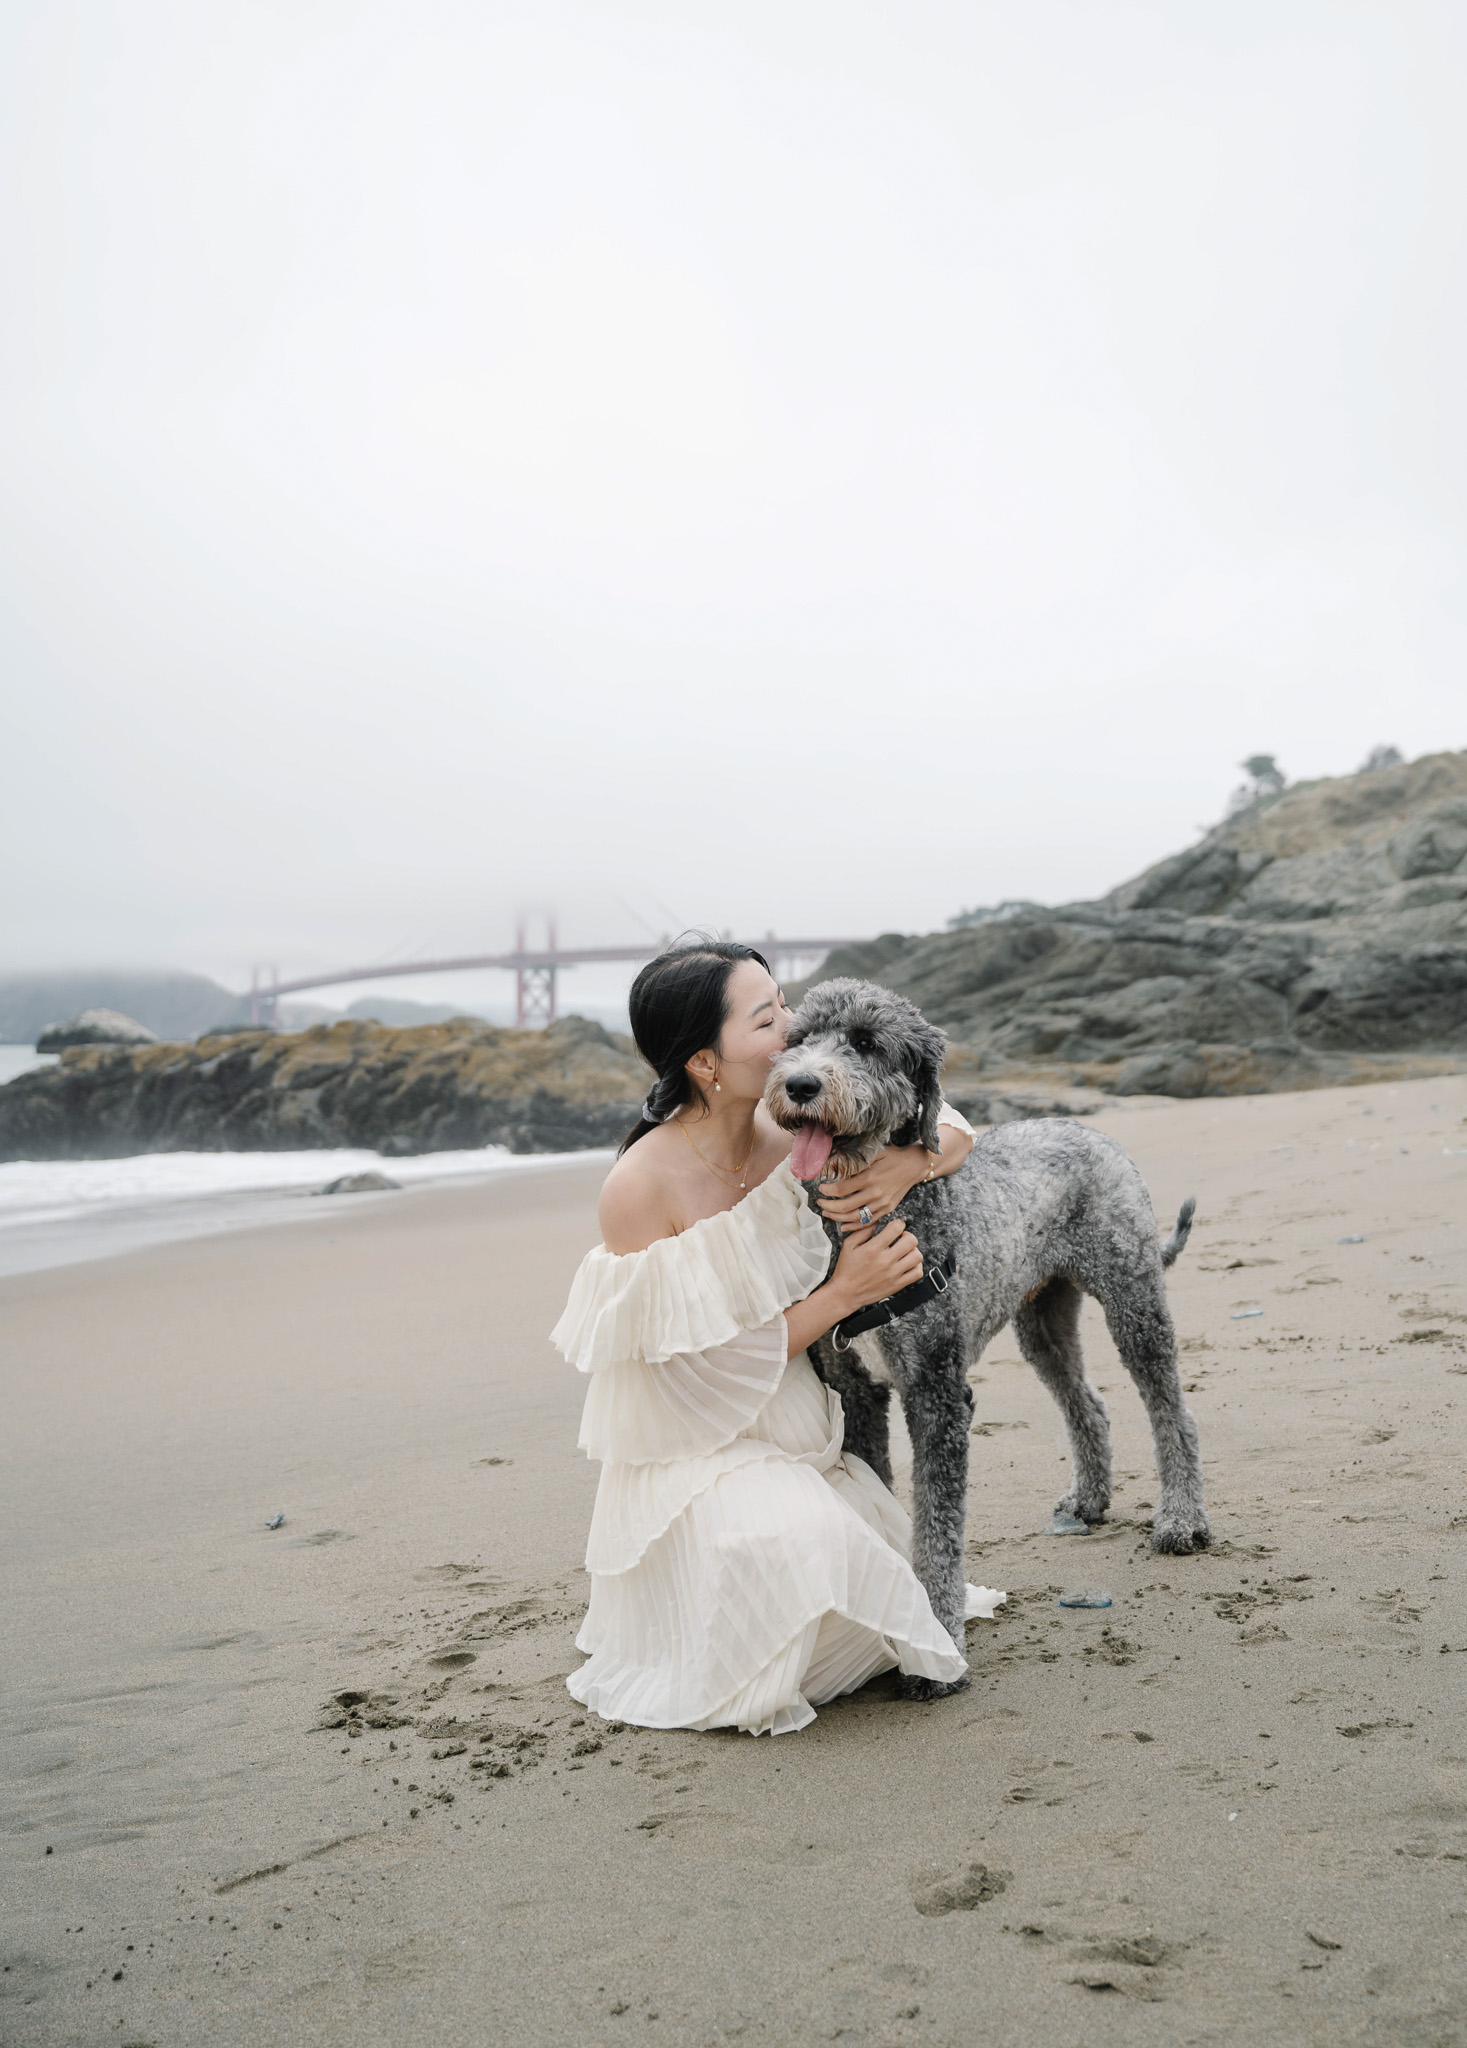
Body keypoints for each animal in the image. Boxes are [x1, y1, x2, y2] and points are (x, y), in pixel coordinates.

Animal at [765, 978, 1209, 1695]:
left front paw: (939, 1649)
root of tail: (1084, 1127)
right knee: (1086, 1402)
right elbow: (878, 1500)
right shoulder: (857, 1392)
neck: (877, 1217)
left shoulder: (938, 1394)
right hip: (1042, 1320)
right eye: (798, 1038)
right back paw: (1090, 1499)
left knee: (1170, 1408)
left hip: (1133, 1298)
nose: (800, 1084)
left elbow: (937, 1532)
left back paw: (1182, 1520)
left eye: (865, 1041)